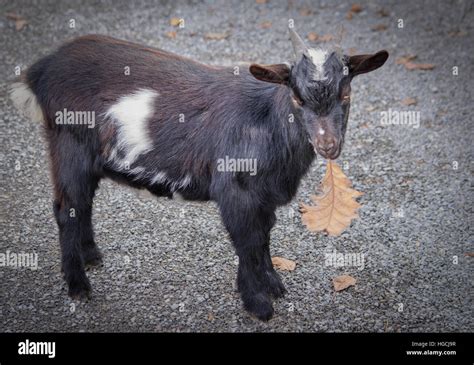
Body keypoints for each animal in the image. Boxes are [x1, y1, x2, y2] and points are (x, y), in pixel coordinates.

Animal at [10, 29, 388, 318]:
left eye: (346, 93)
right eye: (296, 97)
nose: (328, 145)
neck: (268, 121)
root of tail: (42, 69)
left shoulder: (263, 195)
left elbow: (264, 235)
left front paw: (272, 285)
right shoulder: (235, 190)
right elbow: (247, 241)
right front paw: (257, 304)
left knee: (83, 204)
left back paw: (92, 257)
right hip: (68, 144)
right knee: (66, 208)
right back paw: (78, 285)